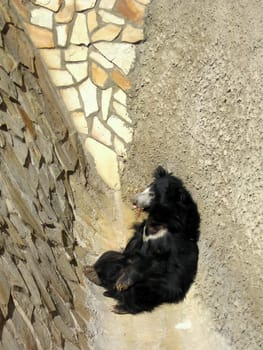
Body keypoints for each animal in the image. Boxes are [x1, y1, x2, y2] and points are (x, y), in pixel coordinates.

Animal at [84, 167, 200, 314]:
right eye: (147, 188)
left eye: (152, 194)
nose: (133, 200)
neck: (159, 219)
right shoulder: (143, 230)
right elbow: (132, 245)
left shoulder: (166, 241)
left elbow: (152, 261)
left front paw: (123, 282)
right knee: (109, 257)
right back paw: (91, 272)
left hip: (158, 286)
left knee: (137, 292)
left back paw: (120, 305)